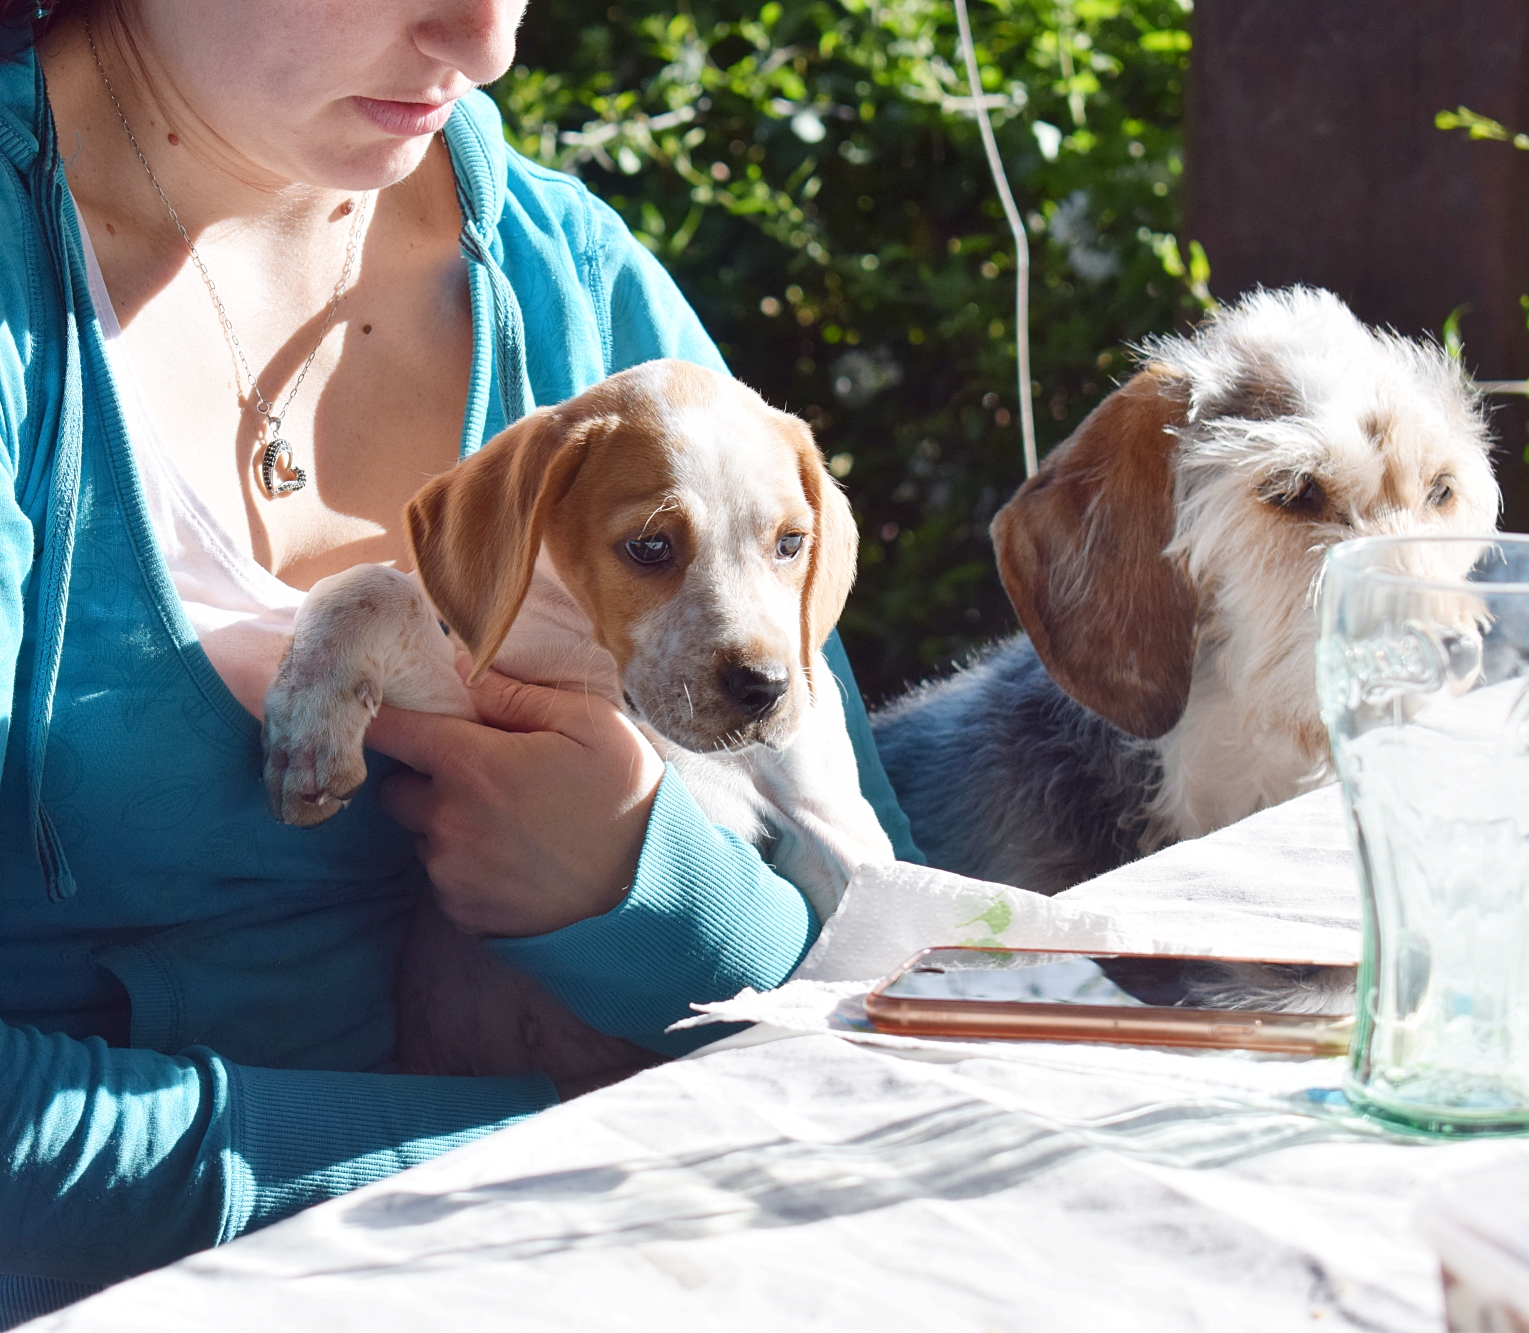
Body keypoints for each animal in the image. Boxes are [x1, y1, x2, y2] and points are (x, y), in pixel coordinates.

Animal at [261, 359, 893, 1078]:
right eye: (648, 547)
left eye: (790, 543)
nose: (766, 687)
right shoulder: (473, 704)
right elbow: (371, 586)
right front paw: (306, 728)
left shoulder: (836, 830)